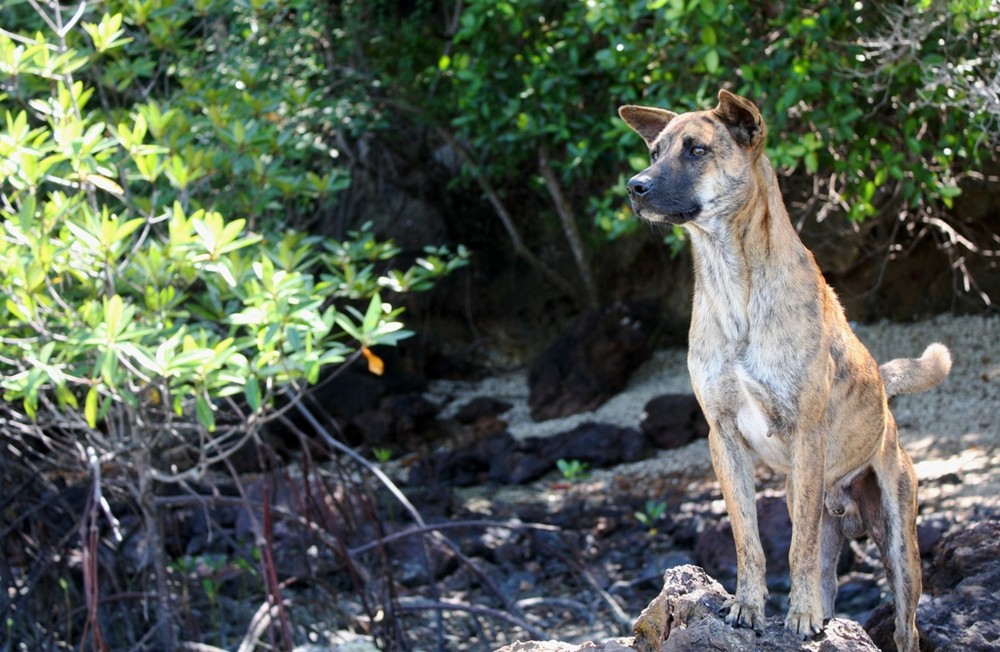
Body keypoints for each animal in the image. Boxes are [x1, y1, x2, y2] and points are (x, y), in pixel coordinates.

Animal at [616, 88, 952, 652]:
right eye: (655, 151)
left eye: (696, 150)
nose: (635, 187)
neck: (734, 283)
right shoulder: (723, 439)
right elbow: (748, 540)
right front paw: (748, 607)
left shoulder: (806, 435)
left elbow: (794, 550)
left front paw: (798, 617)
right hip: (812, 507)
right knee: (824, 572)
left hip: (899, 545)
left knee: (903, 623)